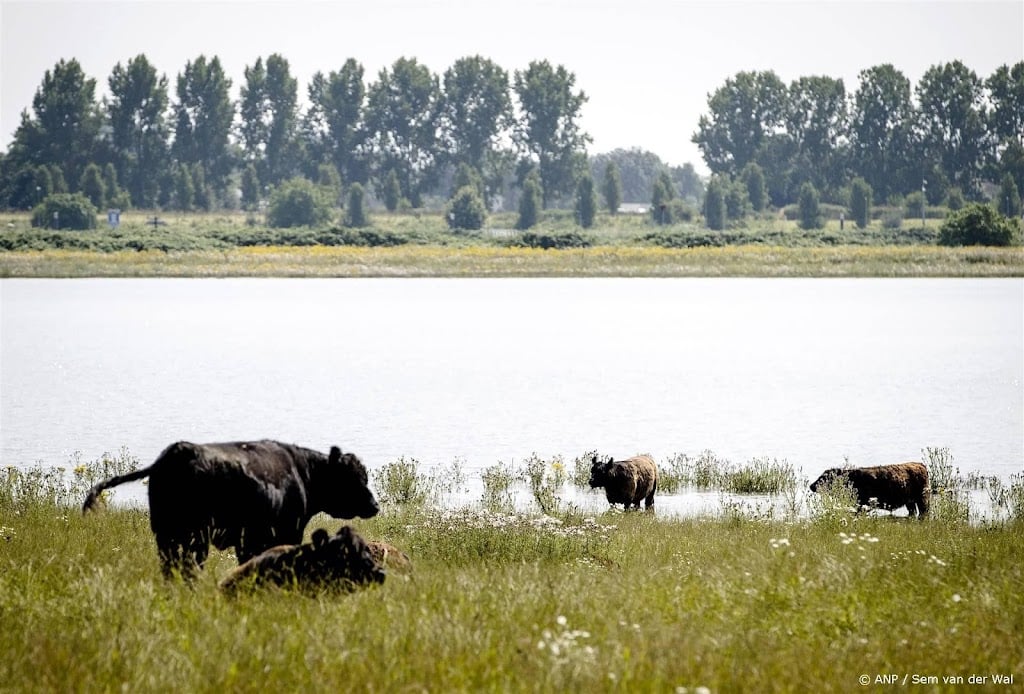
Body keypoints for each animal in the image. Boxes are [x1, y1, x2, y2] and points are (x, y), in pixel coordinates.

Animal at [81, 440, 380, 581]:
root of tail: (175, 453)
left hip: (166, 536)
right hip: (194, 538)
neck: (303, 473)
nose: (375, 505)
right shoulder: (283, 532)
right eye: (355, 477)